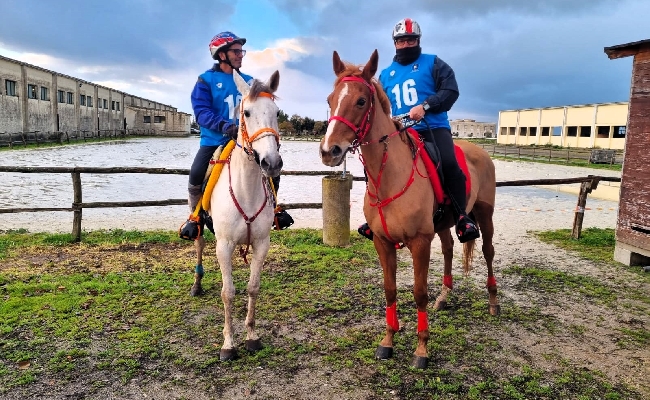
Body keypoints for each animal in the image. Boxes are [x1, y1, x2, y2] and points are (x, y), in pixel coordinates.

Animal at [190, 69, 278, 360]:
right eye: (246, 112)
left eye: (276, 112)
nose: (272, 163)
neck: (246, 189)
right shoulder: (224, 245)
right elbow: (228, 292)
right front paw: (228, 343)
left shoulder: (261, 244)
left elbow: (253, 287)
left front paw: (251, 336)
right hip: (199, 225)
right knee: (198, 244)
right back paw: (197, 285)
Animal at [318, 50, 496, 368]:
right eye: (330, 99)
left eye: (361, 101)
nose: (330, 151)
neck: (390, 177)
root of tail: (480, 151)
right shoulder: (382, 242)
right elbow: (390, 290)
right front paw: (388, 340)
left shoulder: (420, 242)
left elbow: (419, 292)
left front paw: (422, 349)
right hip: (444, 223)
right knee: (449, 249)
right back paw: (444, 297)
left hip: (485, 216)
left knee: (488, 252)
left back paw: (493, 303)